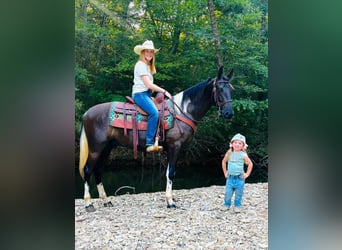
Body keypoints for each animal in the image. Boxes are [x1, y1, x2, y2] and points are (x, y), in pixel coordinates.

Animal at [79, 66, 235, 211]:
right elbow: (170, 173)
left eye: (230, 89)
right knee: (88, 170)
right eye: (219, 89)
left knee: (98, 170)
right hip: (95, 148)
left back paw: (106, 201)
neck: (182, 111)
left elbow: (168, 172)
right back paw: (88, 204)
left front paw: (170, 199)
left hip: (107, 147)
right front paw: (170, 202)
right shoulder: (174, 146)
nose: (229, 113)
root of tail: (87, 113)